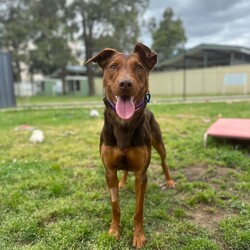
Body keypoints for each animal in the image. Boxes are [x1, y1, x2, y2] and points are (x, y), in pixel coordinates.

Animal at [87, 42, 175, 248]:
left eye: (139, 67)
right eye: (113, 66)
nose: (125, 84)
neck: (123, 124)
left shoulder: (141, 174)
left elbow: (138, 210)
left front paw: (139, 236)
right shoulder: (109, 171)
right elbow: (115, 206)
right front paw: (114, 231)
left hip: (159, 144)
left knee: (164, 161)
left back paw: (168, 180)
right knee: (126, 170)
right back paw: (123, 182)